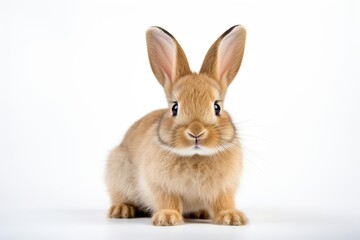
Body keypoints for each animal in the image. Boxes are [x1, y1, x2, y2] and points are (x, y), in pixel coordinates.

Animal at [105, 25, 249, 226]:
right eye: (175, 107)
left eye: (217, 107)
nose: (196, 132)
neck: (195, 156)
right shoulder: (160, 185)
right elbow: (168, 200)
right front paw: (167, 218)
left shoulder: (223, 188)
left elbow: (222, 202)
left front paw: (232, 216)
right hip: (118, 170)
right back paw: (121, 210)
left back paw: (201, 213)